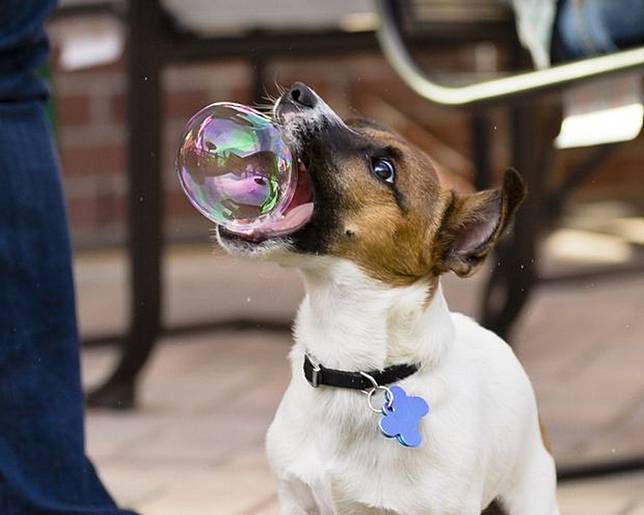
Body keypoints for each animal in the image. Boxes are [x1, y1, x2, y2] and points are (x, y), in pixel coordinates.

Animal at [216, 83, 560, 515]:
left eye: (383, 170)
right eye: (354, 123)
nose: (299, 91)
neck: (353, 370)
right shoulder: (294, 498)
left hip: (532, 493)